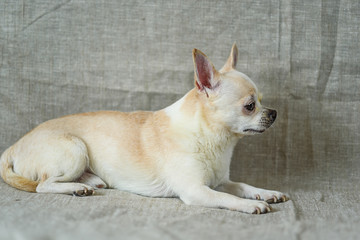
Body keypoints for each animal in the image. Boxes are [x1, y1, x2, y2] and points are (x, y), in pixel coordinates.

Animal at [0, 44, 286, 215]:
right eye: (250, 106)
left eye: (262, 100)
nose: (273, 112)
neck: (214, 139)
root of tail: (13, 147)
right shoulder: (197, 191)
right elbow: (228, 199)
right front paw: (252, 204)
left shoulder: (222, 182)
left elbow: (243, 185)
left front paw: (266, 193)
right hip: (74, 150)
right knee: (43, 185)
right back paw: (75, 187)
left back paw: (88, 181)